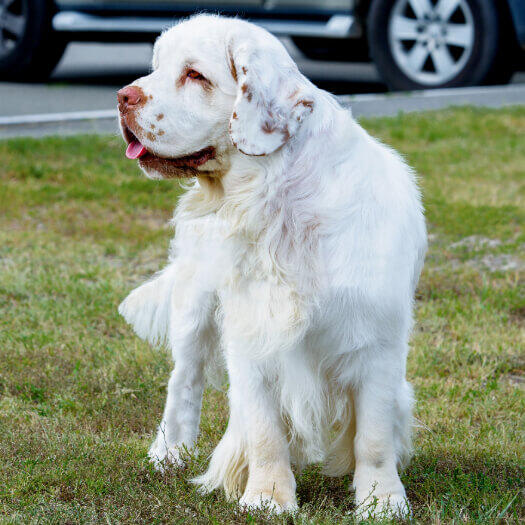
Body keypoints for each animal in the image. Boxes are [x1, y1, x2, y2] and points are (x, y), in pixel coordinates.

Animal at [115, 14, 426, 516]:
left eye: (194, 75)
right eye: (156, 67)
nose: (123, 97)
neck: (279, 203)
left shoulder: (376, 341)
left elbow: (374, 436)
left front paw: (381, 501)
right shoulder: (252, 332)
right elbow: (264, 430)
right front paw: (267, 497)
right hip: (194, 305)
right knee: (184, 380)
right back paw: (168, 454)